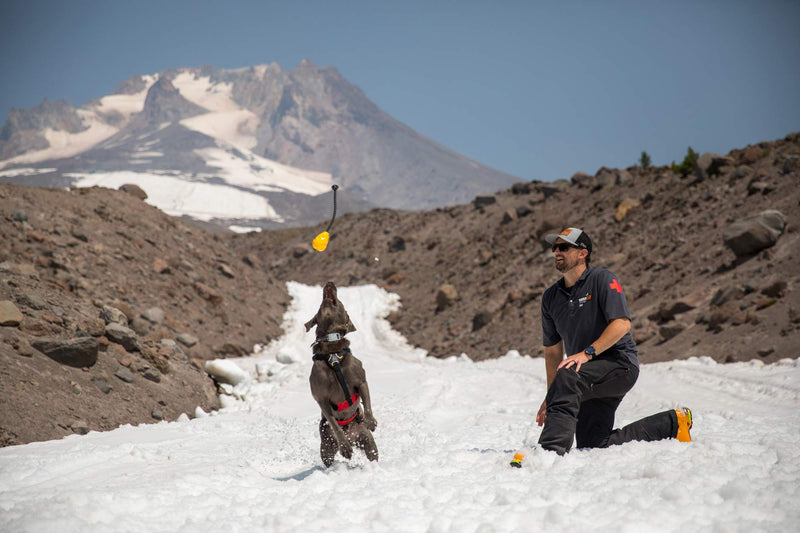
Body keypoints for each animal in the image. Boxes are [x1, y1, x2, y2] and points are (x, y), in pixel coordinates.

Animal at [306, 280, 382, 464]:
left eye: (341, 303)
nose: (330, 282)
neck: (332, 351)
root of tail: (352, 436)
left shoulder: (361, 381)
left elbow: (367, 404)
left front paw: (371, 421)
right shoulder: (321, 398)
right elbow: (334, 424)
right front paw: (345, 448)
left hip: (367, 440)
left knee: (372, 451)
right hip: (326, 445)